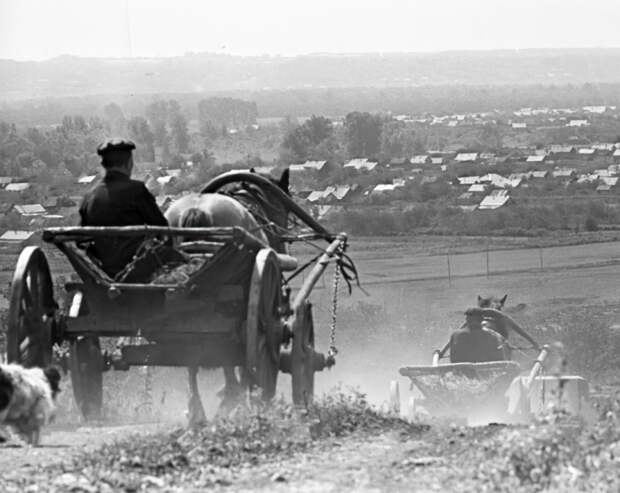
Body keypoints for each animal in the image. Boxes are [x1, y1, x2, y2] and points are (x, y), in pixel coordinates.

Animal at [165, 168, 290, 422]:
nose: (282, 247)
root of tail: (197, 208)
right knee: (225, 349)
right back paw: (231, 397)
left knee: (189, 349)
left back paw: (197, 410)